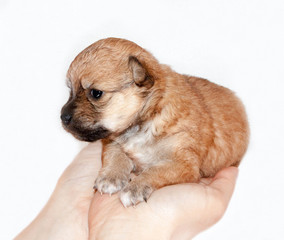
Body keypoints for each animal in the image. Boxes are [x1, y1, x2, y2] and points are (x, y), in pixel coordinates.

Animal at [60, 38, 248, 207]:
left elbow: (156, 170)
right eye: (70, 91)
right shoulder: (112, 141)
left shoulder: (183, 163)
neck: (145, 121)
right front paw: (111, 177)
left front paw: (134, 188)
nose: (63, 117)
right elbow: (114, 153)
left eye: (96, 93)